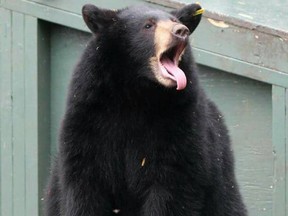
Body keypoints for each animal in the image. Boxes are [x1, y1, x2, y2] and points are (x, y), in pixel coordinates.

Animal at [44, 2, 248, 216]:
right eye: (148, 25)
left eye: (174, 20)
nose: (181, 31)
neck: (138, 93)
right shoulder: (88, 118)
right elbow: (84, 184)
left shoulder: (181, 123)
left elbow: (173, 187)